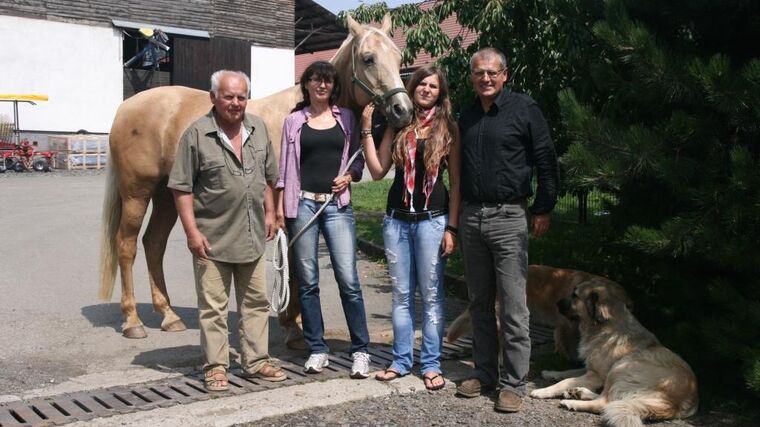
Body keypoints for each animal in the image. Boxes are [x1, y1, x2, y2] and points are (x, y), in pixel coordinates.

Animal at [100, 13, 412, 340]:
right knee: (127, 246)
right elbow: (296, 265)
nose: (403, 110)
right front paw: (295, 326)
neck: (306, 109)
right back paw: (132, 321)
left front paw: (293, 321)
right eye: (368, 58)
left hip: (166, 196)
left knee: (154, 244)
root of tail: (127, 106)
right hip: (137, 193)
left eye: (398, 56)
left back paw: (169, 315)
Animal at [528, 278, 700, 427]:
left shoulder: (596, 375)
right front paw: (551, 373)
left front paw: (543, 391)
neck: (605, 326)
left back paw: (572, 402)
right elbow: (569, 372)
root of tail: (681, 402)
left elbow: (566, 380)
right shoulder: (592, 368)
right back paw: (579, 392)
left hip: (621, 366)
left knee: (605, 403)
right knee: (612, 400)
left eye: (575, 295)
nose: (557, 303)